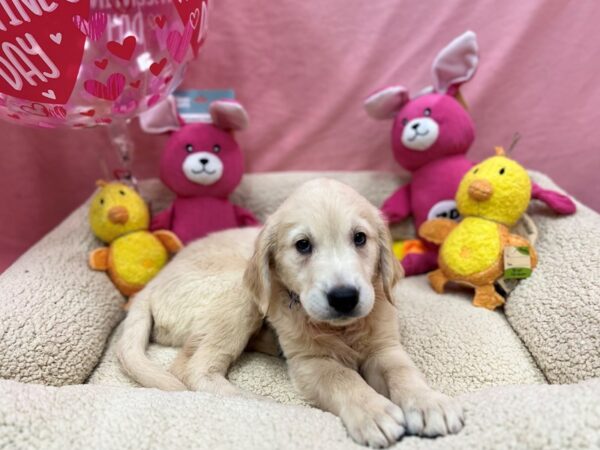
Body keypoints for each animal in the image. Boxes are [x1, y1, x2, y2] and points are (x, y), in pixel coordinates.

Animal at [117, 178, 464, 446]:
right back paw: (259, 403)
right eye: (303, 245)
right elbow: (343, 378)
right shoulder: (310, 362)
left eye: (360, 238)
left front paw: (428, 402)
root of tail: (149, 287)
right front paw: (373, 411)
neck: (340, 328)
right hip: (238, 295)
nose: (344, 297)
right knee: (191, 369)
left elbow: (402, 371)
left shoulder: (385, 346)